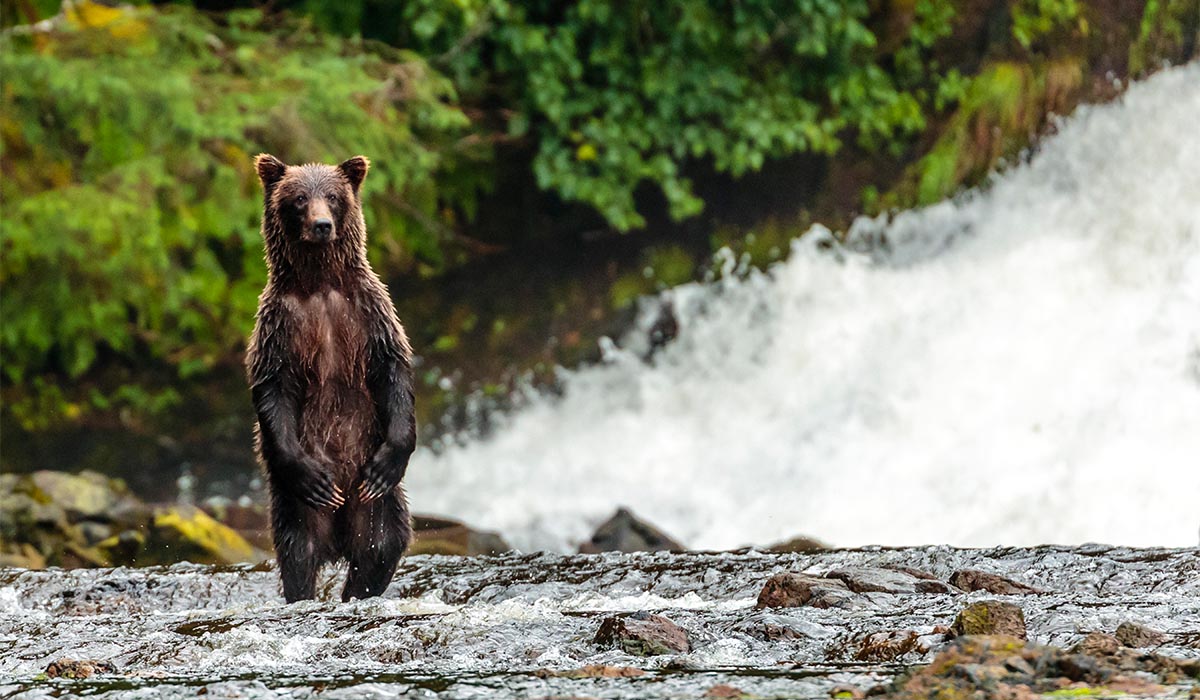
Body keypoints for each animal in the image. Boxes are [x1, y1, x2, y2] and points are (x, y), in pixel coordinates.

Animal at [245, 153, 416, 603]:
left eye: (334, 197)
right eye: (299, 198)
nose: (322, 225)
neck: (321, 284)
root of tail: (338, 538)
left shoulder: (370, 314)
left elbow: (394, 370)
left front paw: (392, 460)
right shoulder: (279, 327)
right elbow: (273, 387)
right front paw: (311, 477)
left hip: (373, 501)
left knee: (382, 544)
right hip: (296, 503)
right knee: (297, 549)